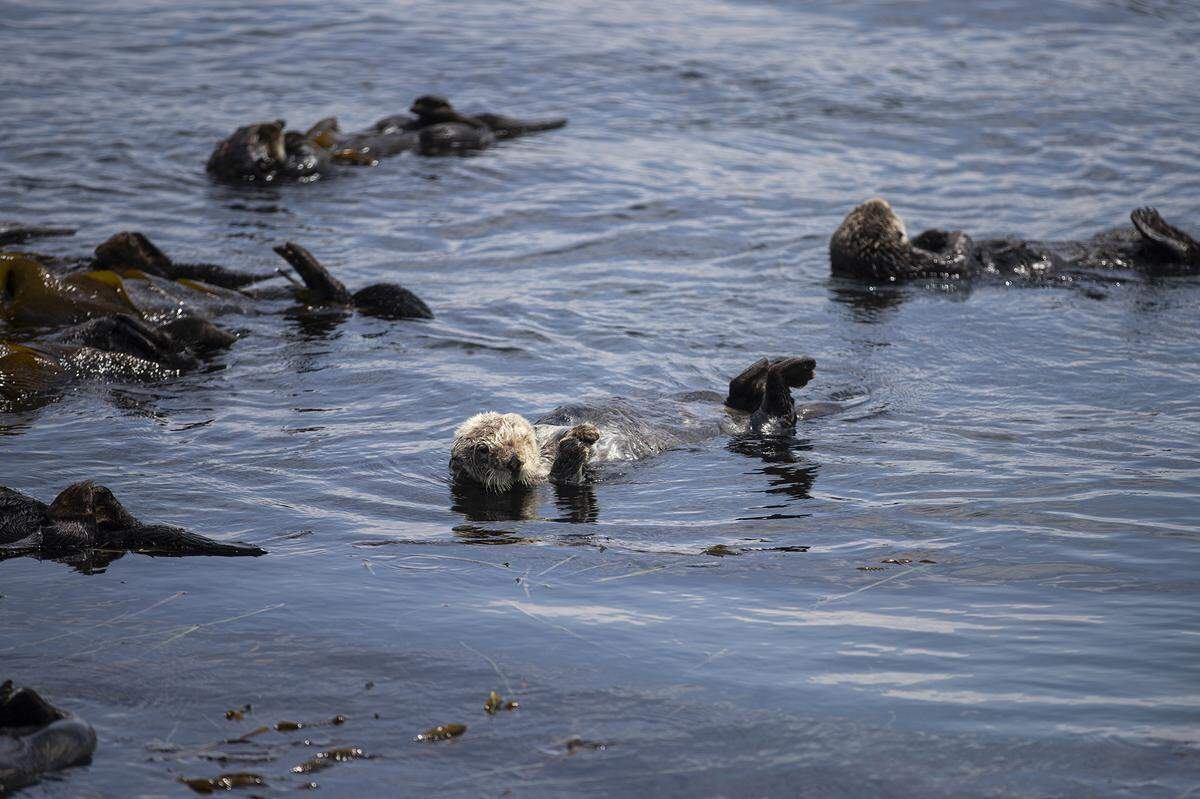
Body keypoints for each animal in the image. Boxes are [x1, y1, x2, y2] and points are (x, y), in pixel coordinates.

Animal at [451, 357, 817, 492]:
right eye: (483, 453)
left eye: (513, 438)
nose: (513, 461)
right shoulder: (554, 481)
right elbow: (568, 474)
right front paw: (579, 441)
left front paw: (581, 431)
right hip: (767, 426)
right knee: (775, 411)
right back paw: (788, 369)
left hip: (734, 405)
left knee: (738, 393)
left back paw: (768, 367)